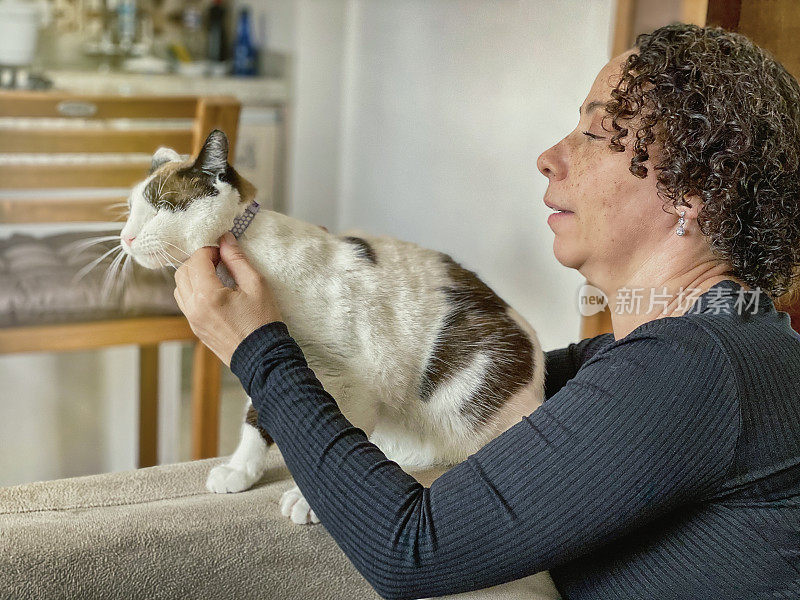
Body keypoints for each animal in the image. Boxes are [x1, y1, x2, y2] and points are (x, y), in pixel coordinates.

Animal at [120, 127, 544, 524]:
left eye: (161, 207)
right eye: (130, 209)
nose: (126, 236)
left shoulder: (356, 381)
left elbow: (340, 440)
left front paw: (306, 501)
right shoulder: (266, 357)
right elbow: (256, 418)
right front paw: (240, 470)